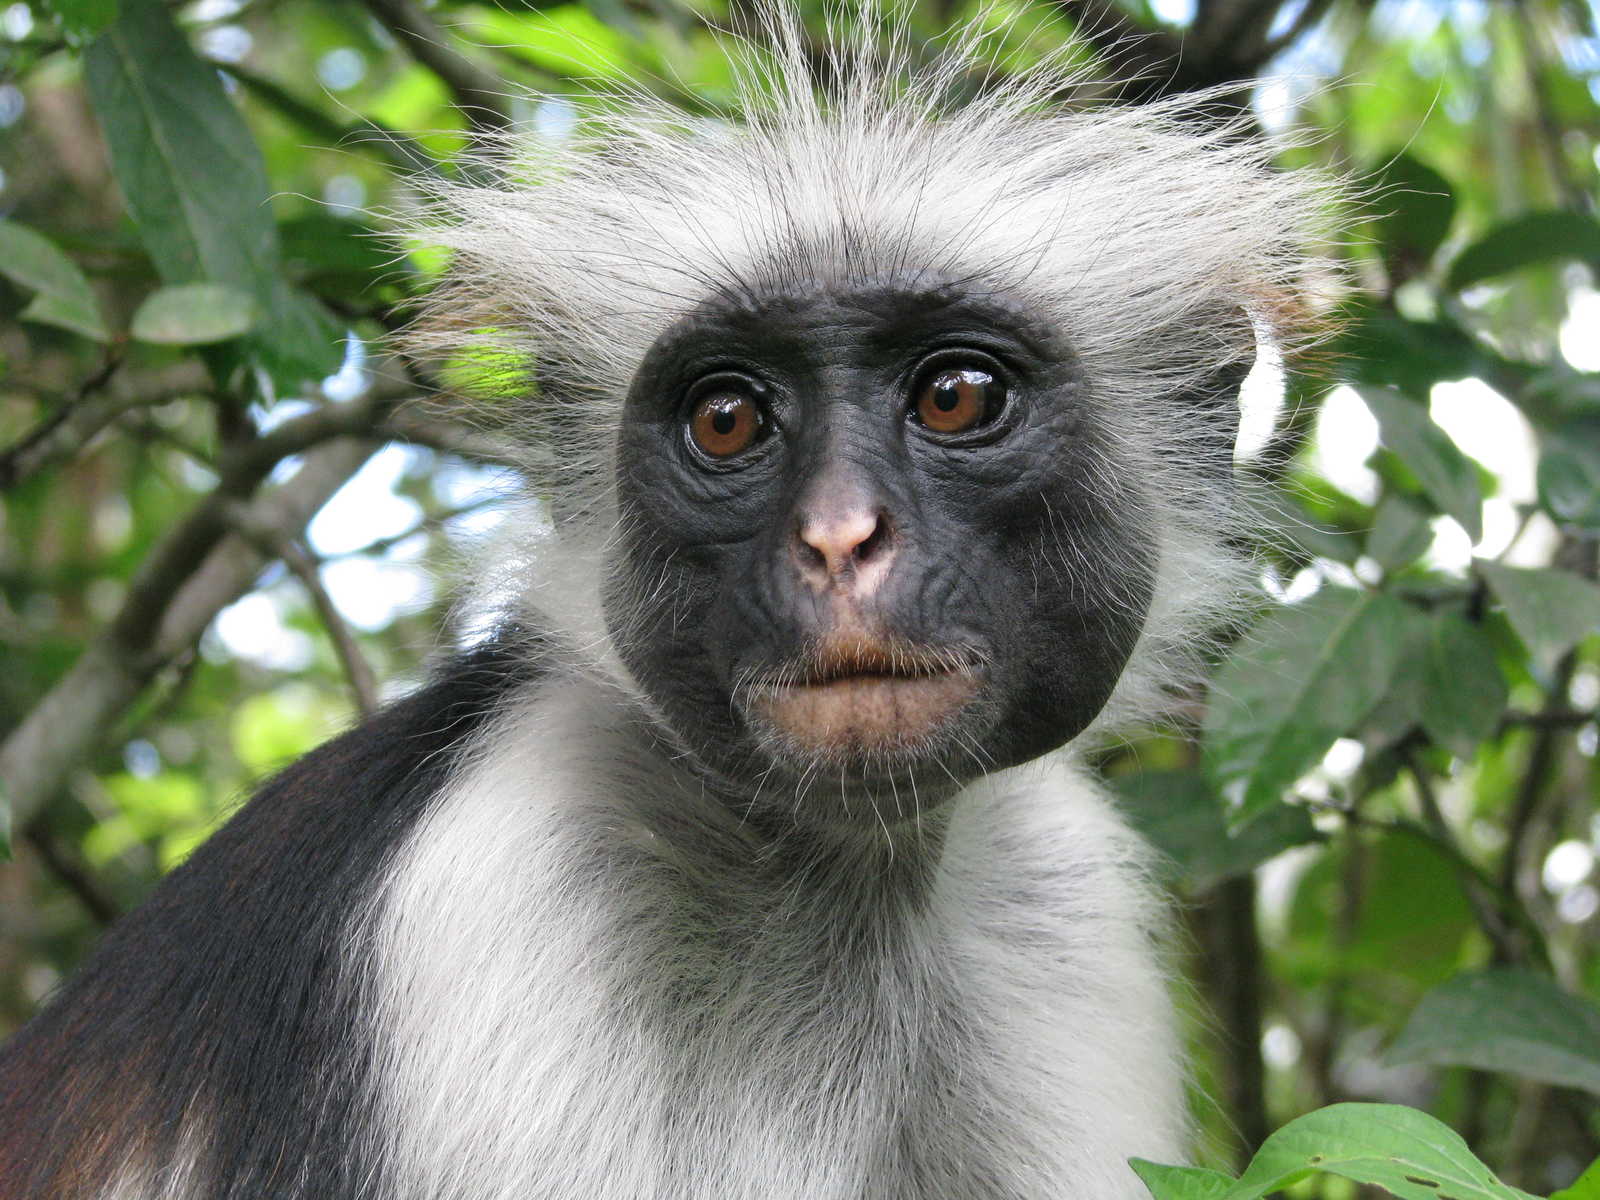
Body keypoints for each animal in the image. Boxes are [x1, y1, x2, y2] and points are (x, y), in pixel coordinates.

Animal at [0, 9, 1331, 1199]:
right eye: (727, 418)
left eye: (955, 396)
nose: (838, 539)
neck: (845, 868)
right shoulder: (499, 891)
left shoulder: (1064, 903)